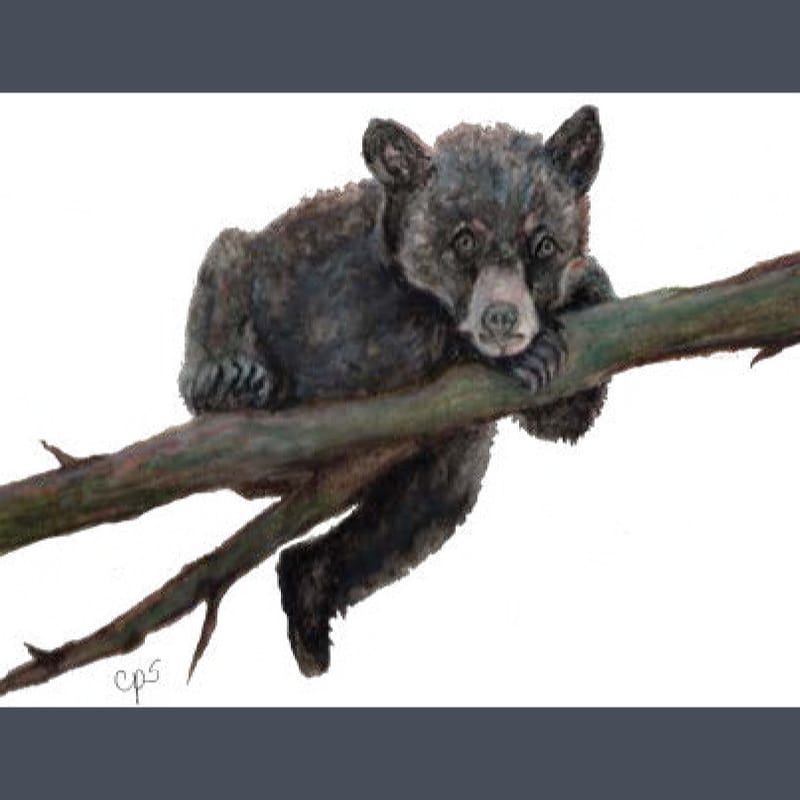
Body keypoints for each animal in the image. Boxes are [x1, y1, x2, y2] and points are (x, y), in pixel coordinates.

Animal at [178, 105, 615, 676]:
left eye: (543, 244)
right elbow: (370, 349)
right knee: (225, 256)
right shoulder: (338, 286)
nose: (502, 319)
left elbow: (563, 417)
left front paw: (587, 287)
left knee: (422, 507)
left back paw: (308, 604)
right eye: (463, 241)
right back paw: (226, 381)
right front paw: (518, 350)